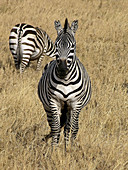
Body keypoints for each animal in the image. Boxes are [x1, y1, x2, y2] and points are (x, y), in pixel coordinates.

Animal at [37, 18, 91, 151]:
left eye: (73, 46)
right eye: (56, 45)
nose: (61, 69)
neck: (65, 80)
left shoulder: (76, 103)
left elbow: (74, 128)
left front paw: (71, 150)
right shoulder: (53, 102)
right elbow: (56, 128)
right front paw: (54, 151)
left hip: (69, 108)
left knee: (67, 127)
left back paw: (66, 148)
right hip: (48, 107)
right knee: (55, 126)